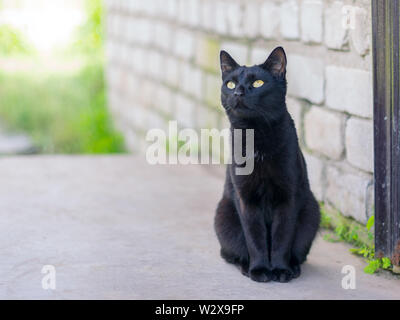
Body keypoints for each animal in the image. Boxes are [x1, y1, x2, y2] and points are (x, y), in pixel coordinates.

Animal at [214, 47, 320, 282]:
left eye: (258, 83)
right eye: (230, 84)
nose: (238, 93)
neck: (256, 136)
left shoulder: (288, 197)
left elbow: (281, 237)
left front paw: (280, 270)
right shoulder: (246, 198)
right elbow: (255, 237)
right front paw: (260, 269)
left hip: (311, 213)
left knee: (298, 251)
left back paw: (293, 268)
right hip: (224, 216)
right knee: (230, 252)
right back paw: (246, 266)